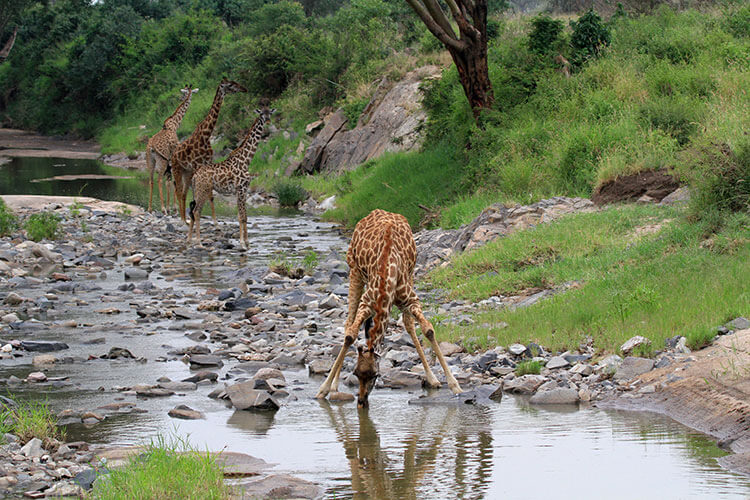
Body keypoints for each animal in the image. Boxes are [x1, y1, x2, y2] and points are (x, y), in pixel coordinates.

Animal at [146, 84, 200, 213]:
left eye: (183, 93)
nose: (181, 98)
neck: (174, 124)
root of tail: (151, 148)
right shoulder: (174, 157)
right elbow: (173, 182)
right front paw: (174, 208)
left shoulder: (170, 162)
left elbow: (170, 182)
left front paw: (171, 207)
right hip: (162, 161)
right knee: (159, 180)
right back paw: (163, 209)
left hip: (150, 161)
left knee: (151, 180)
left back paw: (150, 208)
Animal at [170, 77, 247, 223]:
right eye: (230, 85)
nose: (244, 88)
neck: (206, 135)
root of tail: (174, 153)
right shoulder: (197, 165)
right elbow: (199, 195)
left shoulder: (207, 164)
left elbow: (210, 196)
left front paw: (215, 220)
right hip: (177, 168)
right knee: (178, 190)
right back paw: (182, 218)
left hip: (187, 171)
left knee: (183, 192)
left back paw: (185, 218)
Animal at [188, 105, 276, 248]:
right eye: (262, 114)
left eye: (270, 114)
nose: (268, 122)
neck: (246, 160)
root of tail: (195, 176)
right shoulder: (240, 189)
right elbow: (242, 217)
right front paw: (242, 243)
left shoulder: (243, 190)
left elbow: (243, 216)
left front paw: (247, 242)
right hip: (203, 190)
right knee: (196, 211)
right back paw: (199, 242)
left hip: (197, 191)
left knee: (192, 212)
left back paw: (189, 240)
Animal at [314, 209, 462, 408]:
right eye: (355, 373)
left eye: (375, 375)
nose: (361, 401)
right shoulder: (367, 303)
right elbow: (350, 335)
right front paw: (323, 389)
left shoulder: (411, 300)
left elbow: (428, 329)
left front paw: (454, 385)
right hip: (354, 272)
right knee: (348, 322)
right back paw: (334, 385)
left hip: (411, 275)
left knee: (407, 323)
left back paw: (432, 378)